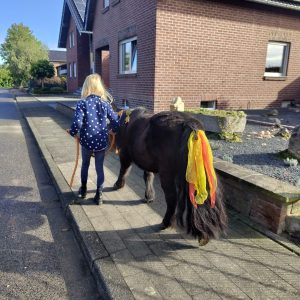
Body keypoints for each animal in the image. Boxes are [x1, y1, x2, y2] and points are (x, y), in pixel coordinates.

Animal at [113, 107, 226, 244]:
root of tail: (188, 123)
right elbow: (148, 176)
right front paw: (149, 196)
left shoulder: (125, 153)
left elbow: (123, 170)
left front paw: (118, 184)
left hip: (166, 174)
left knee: (172, 198)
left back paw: (165, 223)